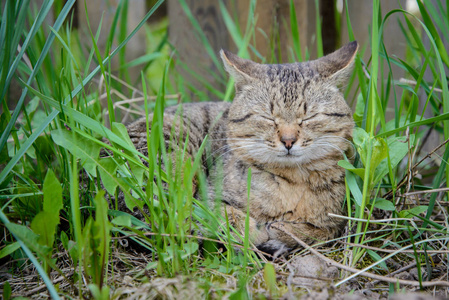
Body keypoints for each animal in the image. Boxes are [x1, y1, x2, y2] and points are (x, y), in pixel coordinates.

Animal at [125, 41, 356, 254]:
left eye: (309, 117)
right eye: (267, 117)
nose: (288, 140)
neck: (293, 181)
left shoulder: (337, 219)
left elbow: (317, 232)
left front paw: (283, 231)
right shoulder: (208, 198)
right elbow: (228, 216)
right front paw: (258, 233)